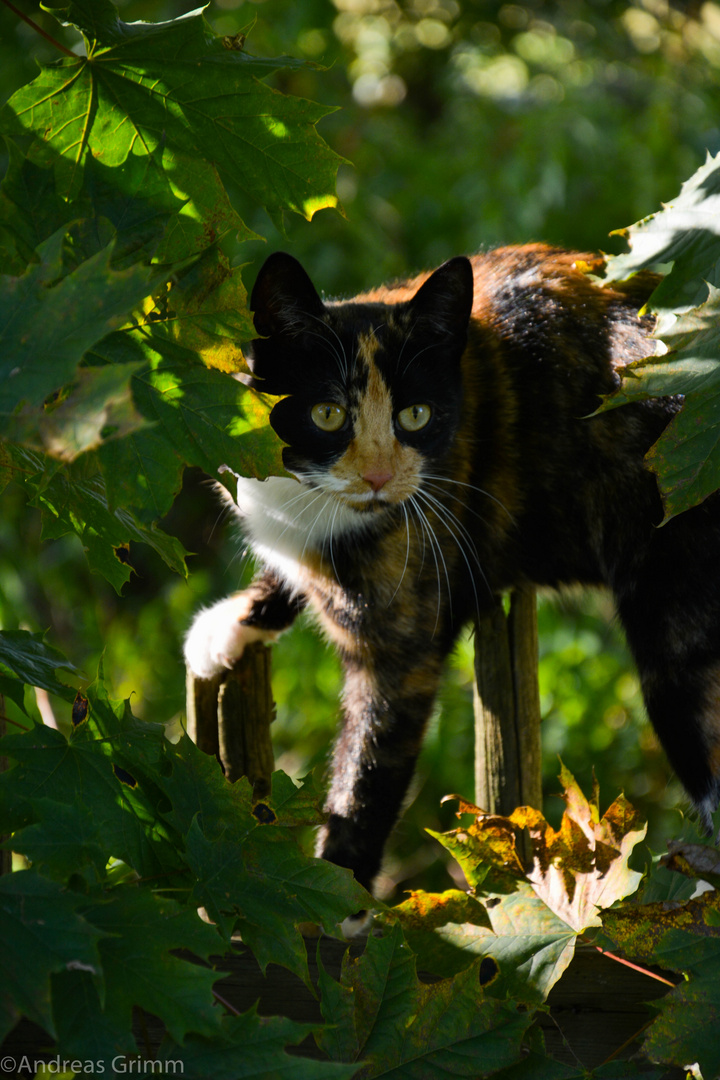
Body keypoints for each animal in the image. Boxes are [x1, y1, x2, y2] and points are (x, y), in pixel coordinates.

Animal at [184, 247, 720, 894]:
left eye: (416, 415)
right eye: (327, 413)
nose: (379, 477)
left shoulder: (401, 654)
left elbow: (364, 781)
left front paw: (340, 895)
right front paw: (228, 623)